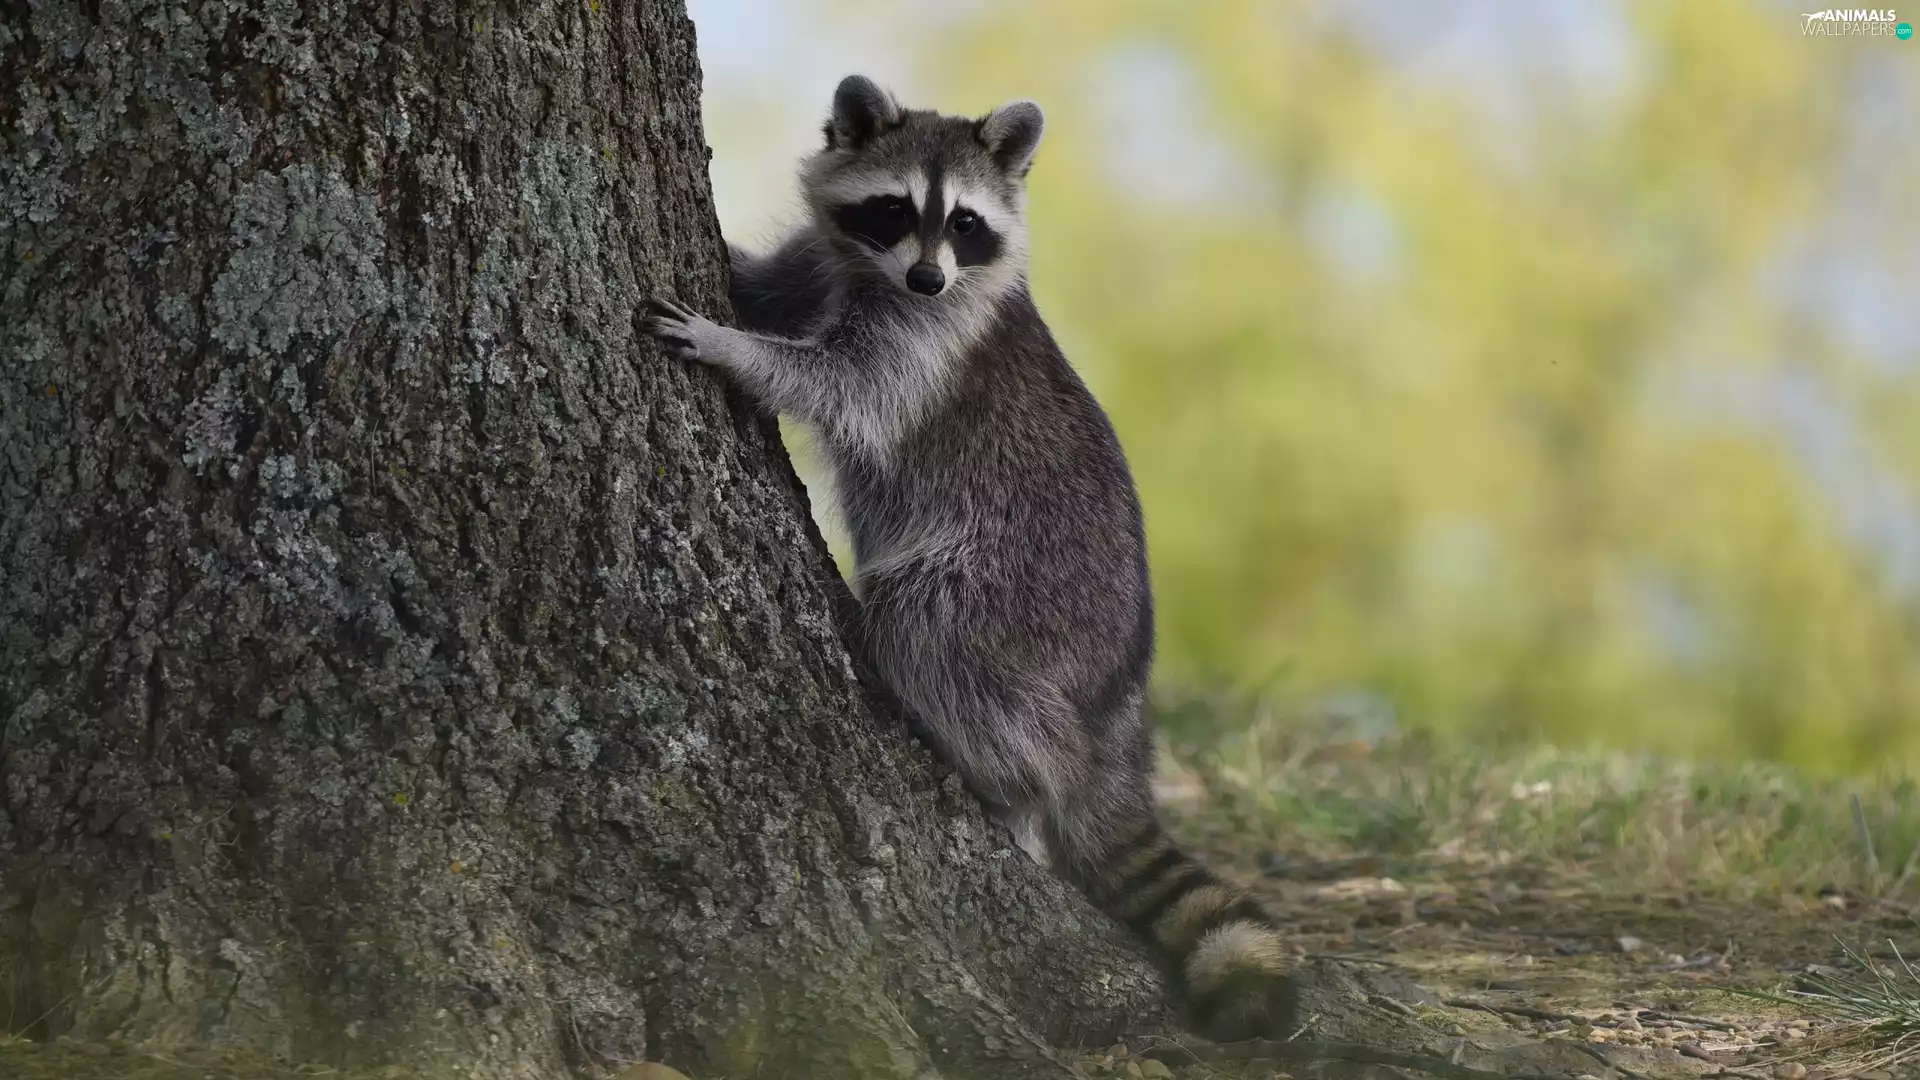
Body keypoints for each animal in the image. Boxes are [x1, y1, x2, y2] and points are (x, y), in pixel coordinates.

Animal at [643, 75, 1297, 1043]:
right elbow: (763, 285)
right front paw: (731, 271)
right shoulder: (825, 261)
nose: (927, 276)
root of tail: (1116, 700)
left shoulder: (924, 346)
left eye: (965, 223)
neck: (878, 273)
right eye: (895, 210)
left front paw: (732, 347)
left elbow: (835, 385)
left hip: (1012, 596)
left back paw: (1010, 780)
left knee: (929, 632)